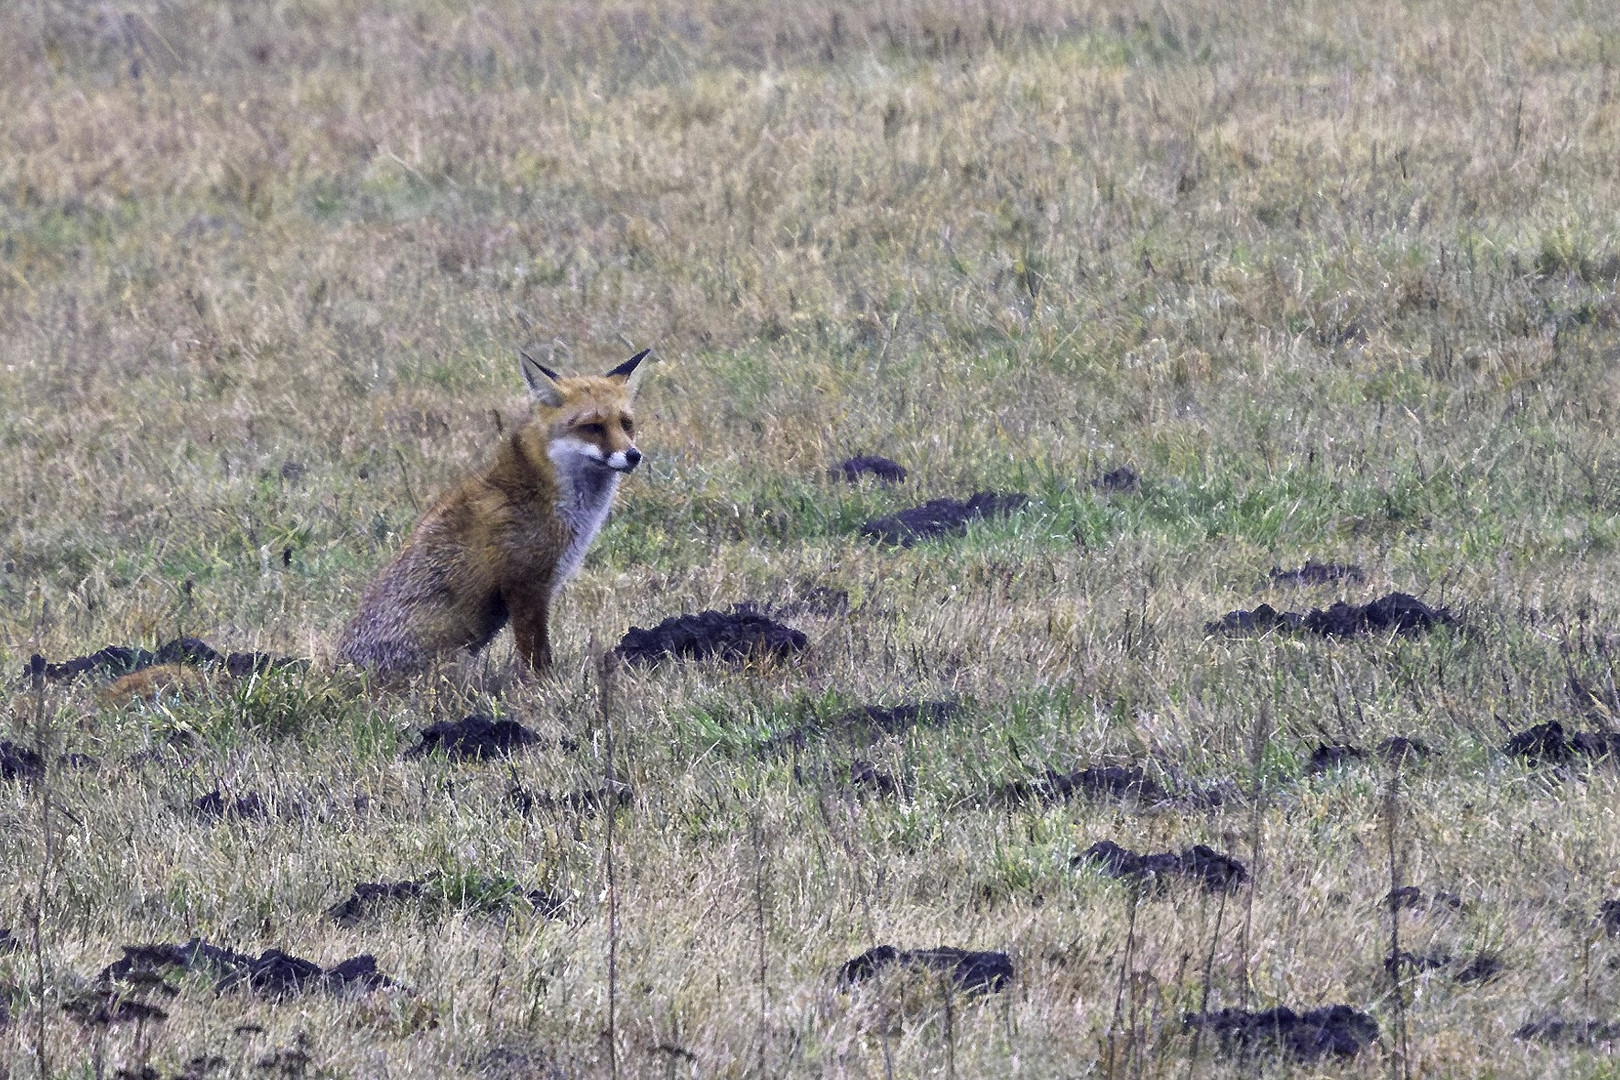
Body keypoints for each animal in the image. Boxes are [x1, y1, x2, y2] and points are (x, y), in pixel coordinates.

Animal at [338, 351, 648, 680]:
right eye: (593, 427)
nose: (633, 455)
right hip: (458, 663)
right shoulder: (525, 586)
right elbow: (536, 654)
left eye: (626, 424)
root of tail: (340, 673)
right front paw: (541, 687)